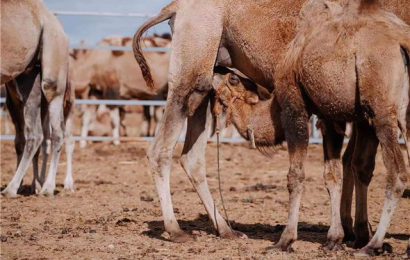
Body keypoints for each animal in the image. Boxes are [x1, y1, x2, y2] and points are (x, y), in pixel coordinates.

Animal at [132, 0, 410, 250]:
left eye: (234, 79)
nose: (224, 73)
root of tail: (175, 6)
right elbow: (346, 166)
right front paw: (351, 234)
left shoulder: (351, 114)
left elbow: (353, 166)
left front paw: (352, 234)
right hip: (195, 57)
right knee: (161, 149)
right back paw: (175, 230)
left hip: (204, 75)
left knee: (192, 156)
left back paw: (226, 230)